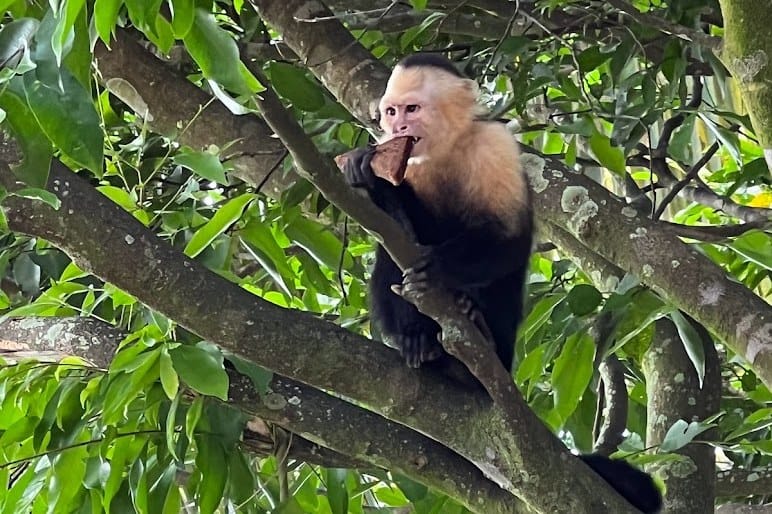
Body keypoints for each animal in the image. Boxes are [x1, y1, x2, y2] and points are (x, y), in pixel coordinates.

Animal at [343, 53, 662, 514]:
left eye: (412, 109)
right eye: (390, 112)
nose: (397, 127)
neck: (444, 151)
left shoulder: (496, 147)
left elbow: (508, 240)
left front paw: (439, 268)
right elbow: (396, 232)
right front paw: (371, 180)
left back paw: (474, 333)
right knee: (389, 263)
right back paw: (421, 340)